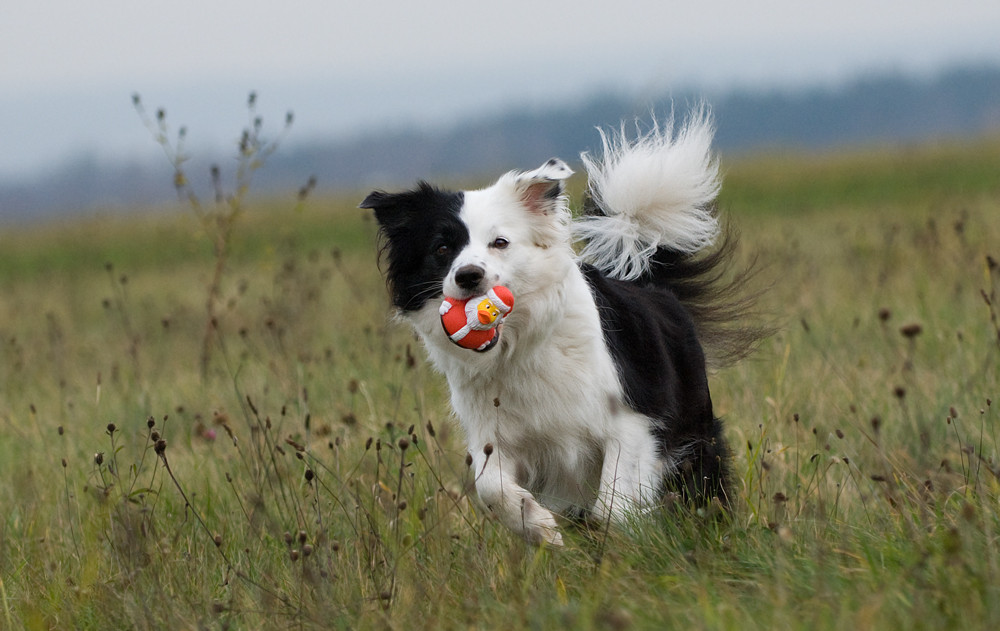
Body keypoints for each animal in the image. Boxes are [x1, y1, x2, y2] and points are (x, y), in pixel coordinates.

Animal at [364, 111, 760, 544]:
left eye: (500, 242)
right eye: (441, 248)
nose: (469, 276)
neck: (519, 348)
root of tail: (649, 286)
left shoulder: (633, 421)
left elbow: (612, 507)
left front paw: (622, 544)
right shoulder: (493, 434)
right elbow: (490, 487)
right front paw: (540, 528)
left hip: (693, 436)